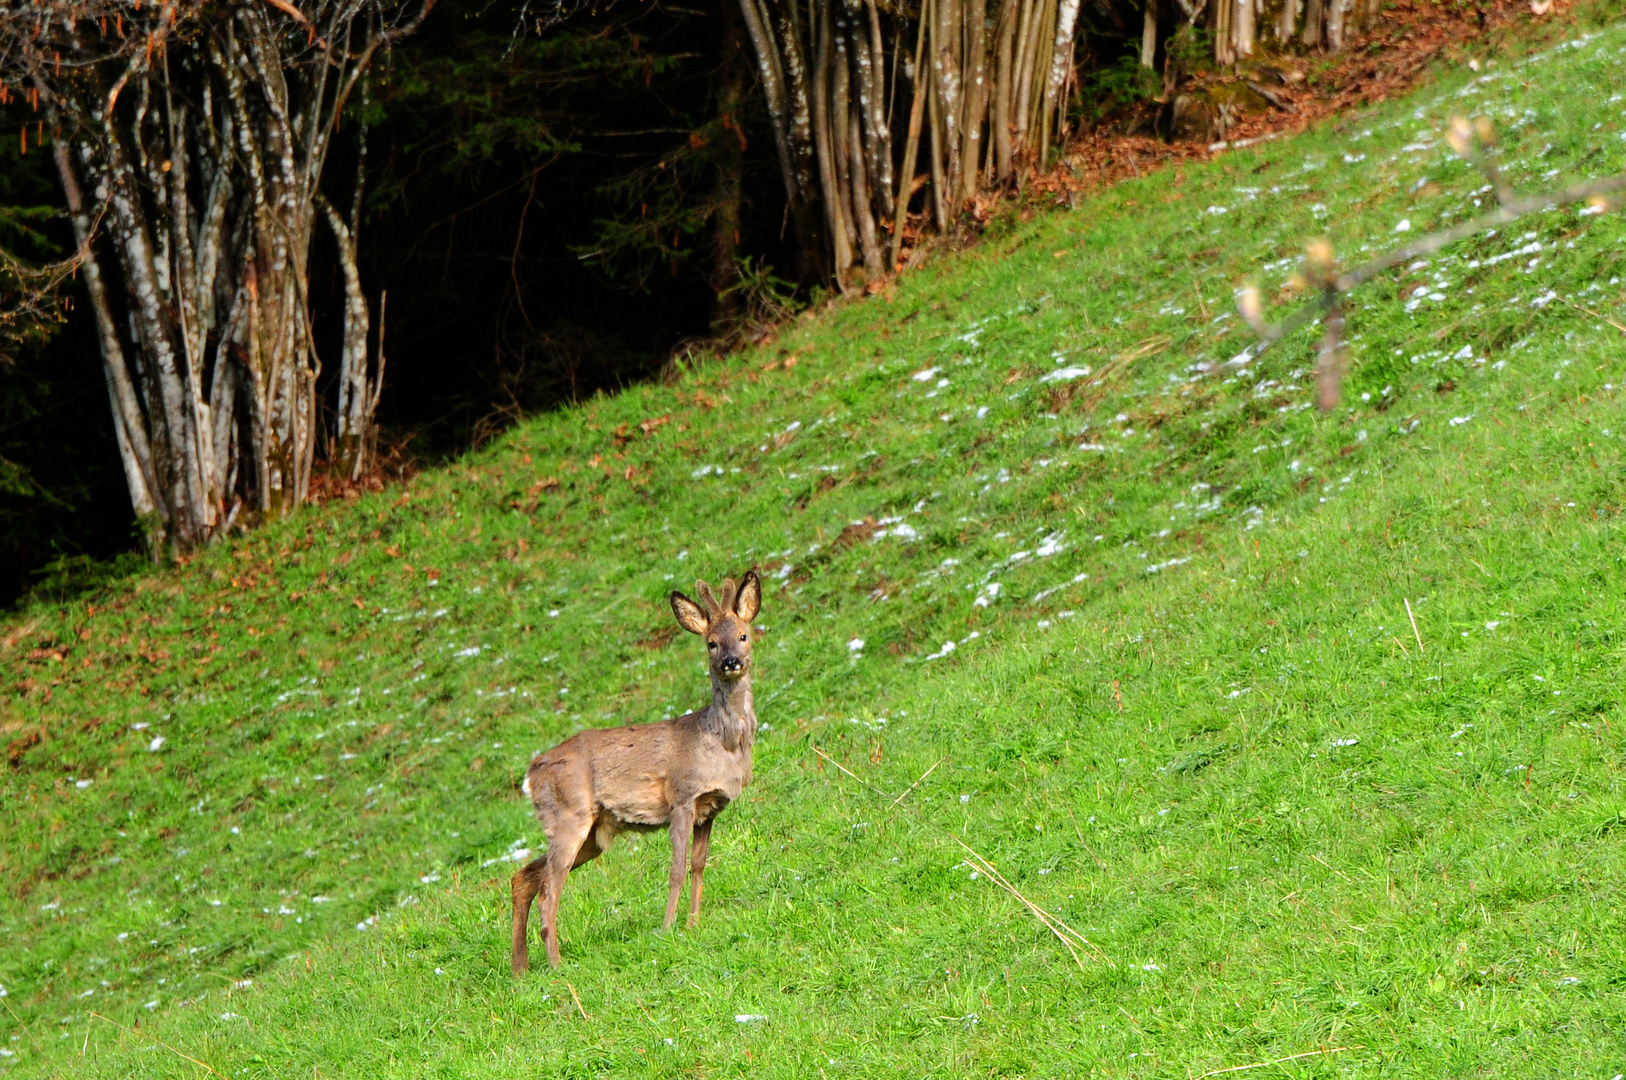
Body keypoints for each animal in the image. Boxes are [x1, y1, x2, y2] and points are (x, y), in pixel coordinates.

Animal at [507, 569, 760, 975]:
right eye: (710, 643)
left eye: (743, 635)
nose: (732, 662)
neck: (719, 741)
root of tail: (531, 774)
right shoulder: (682, 798)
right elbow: (676, 869)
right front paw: (669, 928)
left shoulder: (709, 809)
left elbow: (698, 866)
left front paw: (694, 923)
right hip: (568, 816)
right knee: (548, 892)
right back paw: (557, 966)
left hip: (592, 834)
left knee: (524, 877)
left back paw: (520, 969)